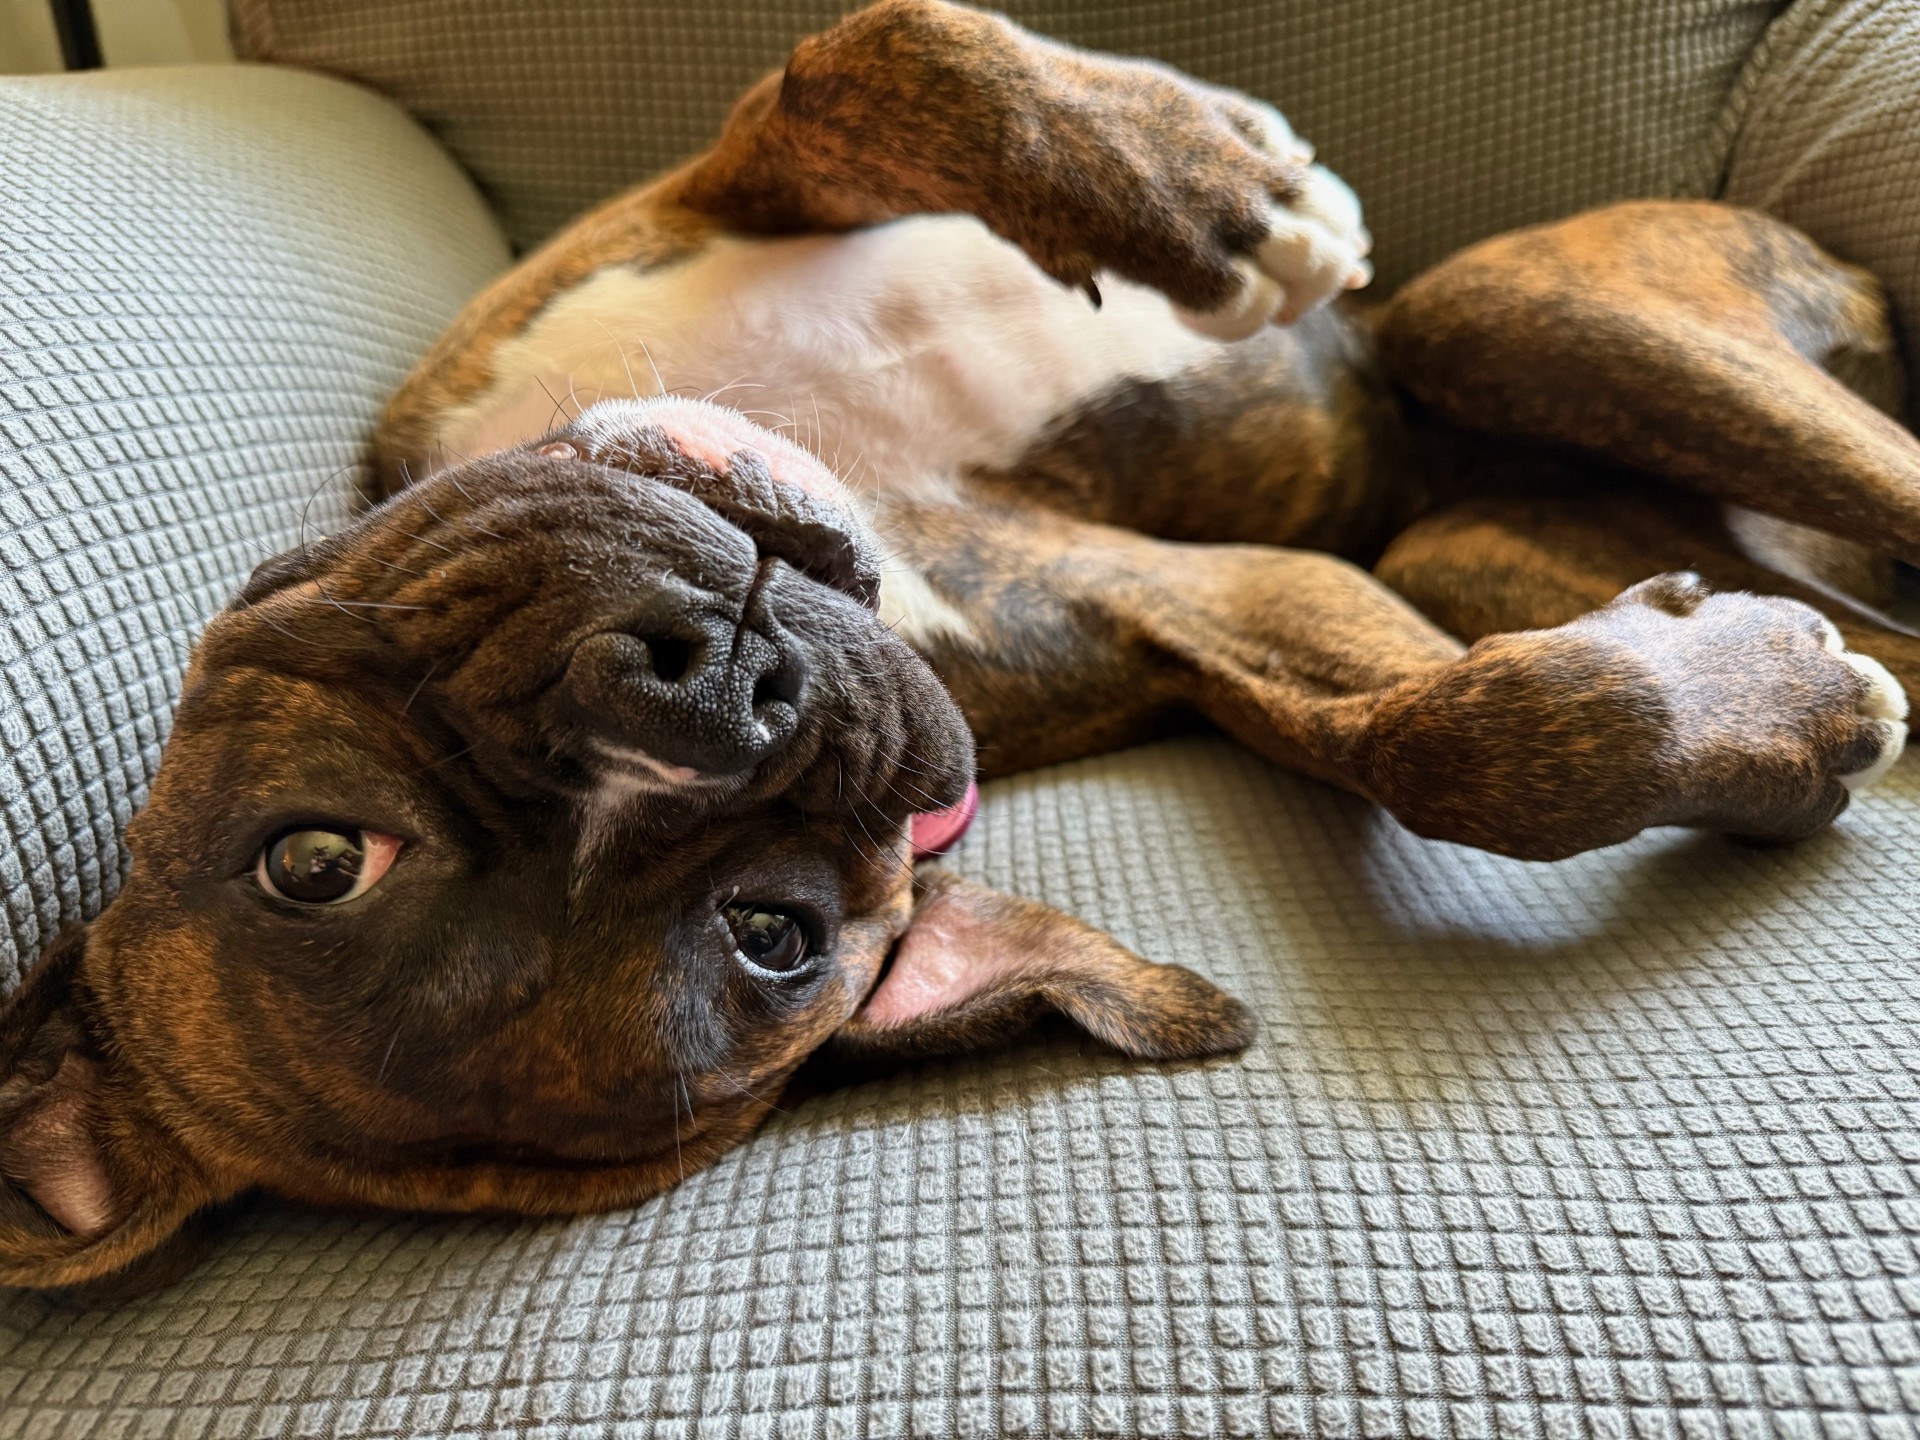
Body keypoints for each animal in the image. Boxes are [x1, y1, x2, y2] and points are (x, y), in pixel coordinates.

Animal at [3, 0, 1915, 1292]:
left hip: (1528, 315)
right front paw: (1767, 718)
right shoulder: (1216, 603)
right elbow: (1455, 741)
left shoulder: (730, 179)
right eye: (774, 937)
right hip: (1490, 481)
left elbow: (881, 54)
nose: (716, 699)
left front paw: (1209, 197)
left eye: (317, 859)